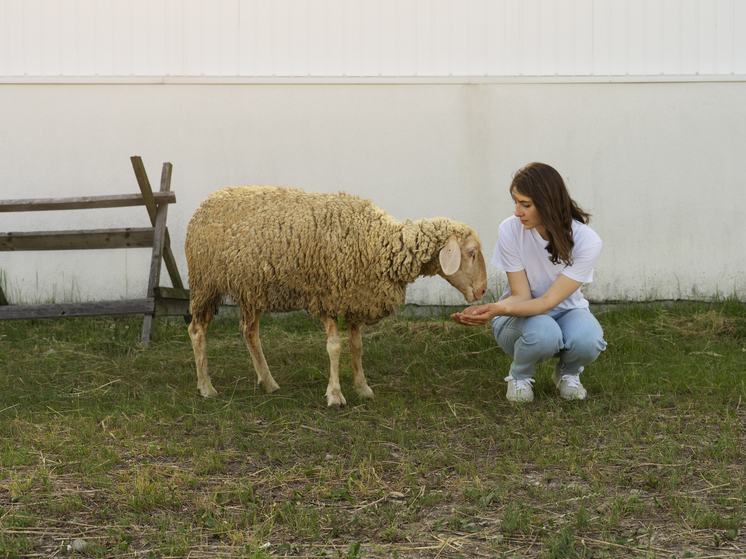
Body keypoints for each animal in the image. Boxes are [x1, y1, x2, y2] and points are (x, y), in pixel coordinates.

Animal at [185, 186, 488, 410]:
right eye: (472, 252)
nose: (483, 291)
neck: (380, 242)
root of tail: (204, 203)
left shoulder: (354, 299)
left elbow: (357, 347)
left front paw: (364, 388)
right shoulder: (327, 297)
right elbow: (334, 347)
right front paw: (335, 395)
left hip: (251, 288)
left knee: (249, 332)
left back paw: (268, 383)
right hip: (205, 284)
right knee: (197, 331)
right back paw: (206, 387)